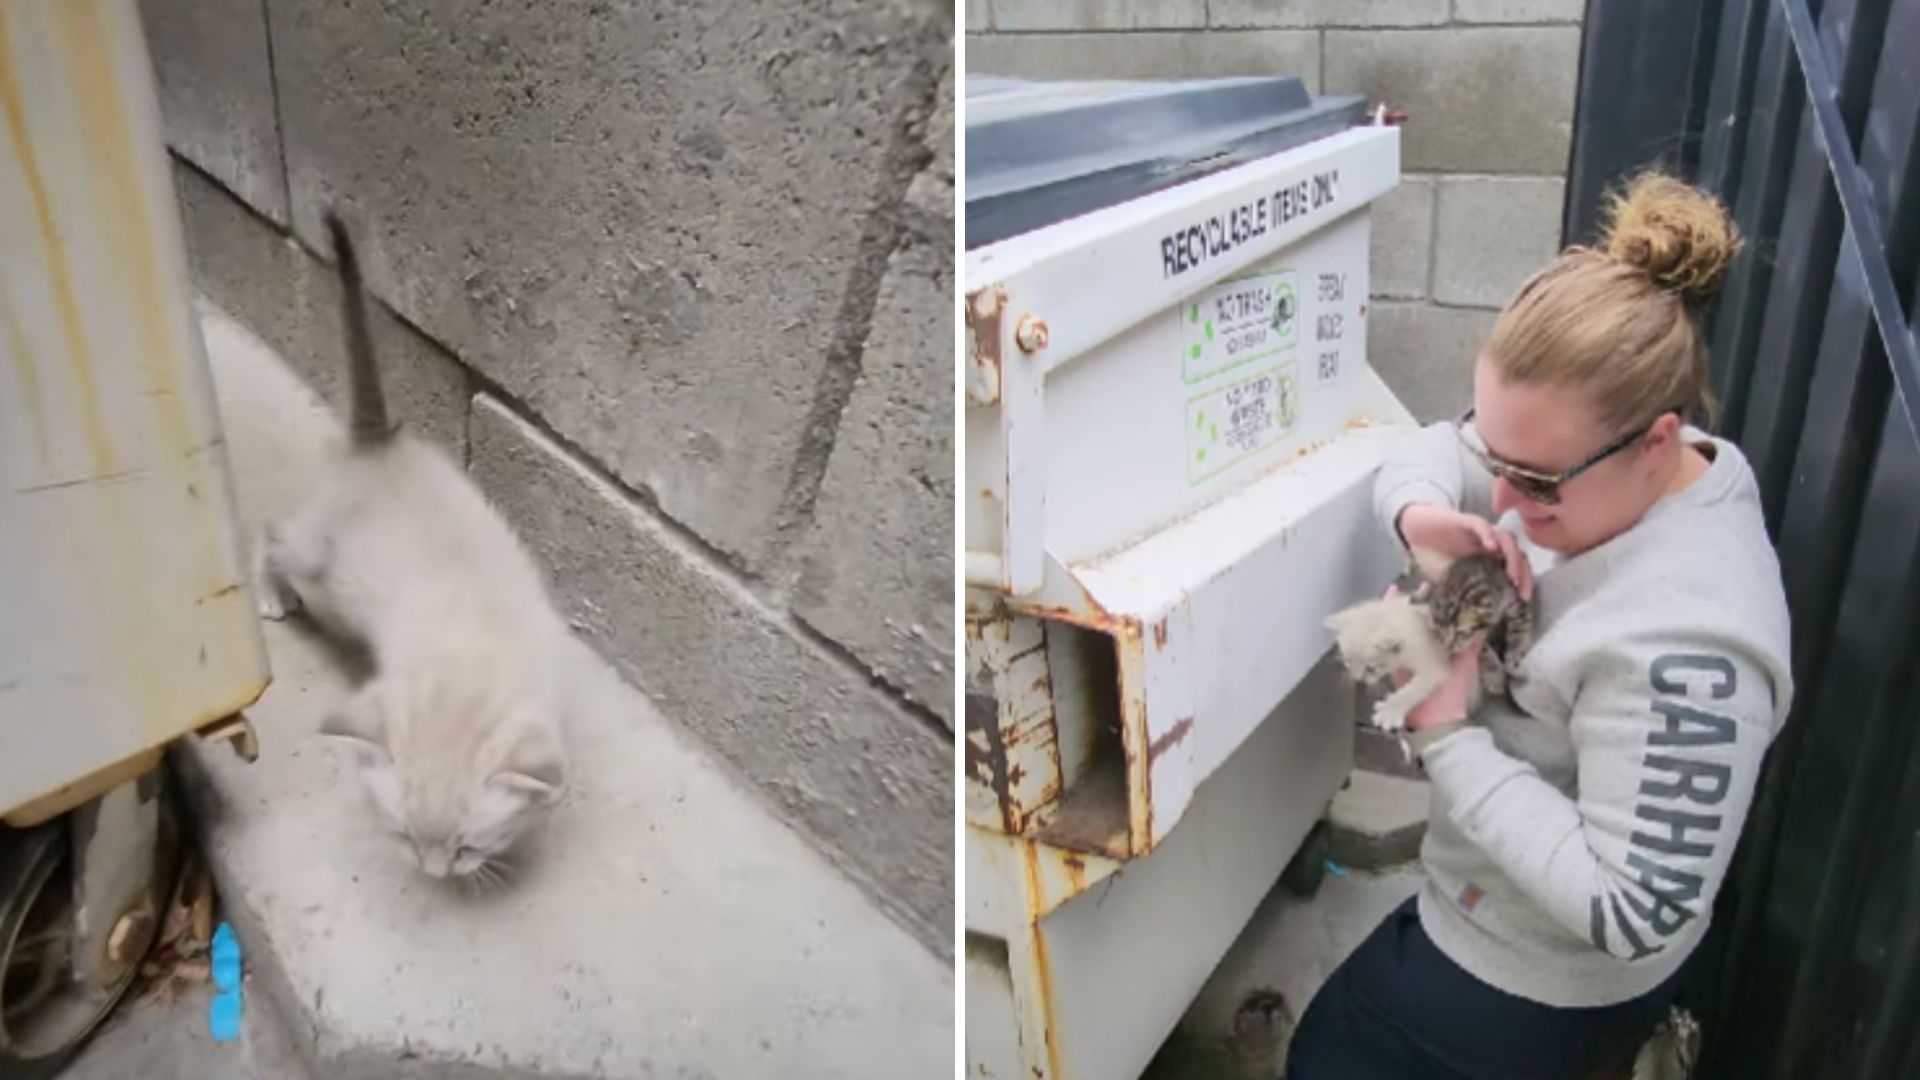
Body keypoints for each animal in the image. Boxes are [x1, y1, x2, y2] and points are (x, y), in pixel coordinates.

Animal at [251, 212, 560, 883]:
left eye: (467, 846)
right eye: (404, 837)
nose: (435, 873)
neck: (470, 654)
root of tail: (376, 445)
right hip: (314, 551)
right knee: (271, 532)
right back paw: (270, 594)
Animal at [1320, 545, 1528, 730]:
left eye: (1372, 668)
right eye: (1347, 662)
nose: (1358, 680)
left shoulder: (1435, 664)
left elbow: (1415, 689)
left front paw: (1390, 710)